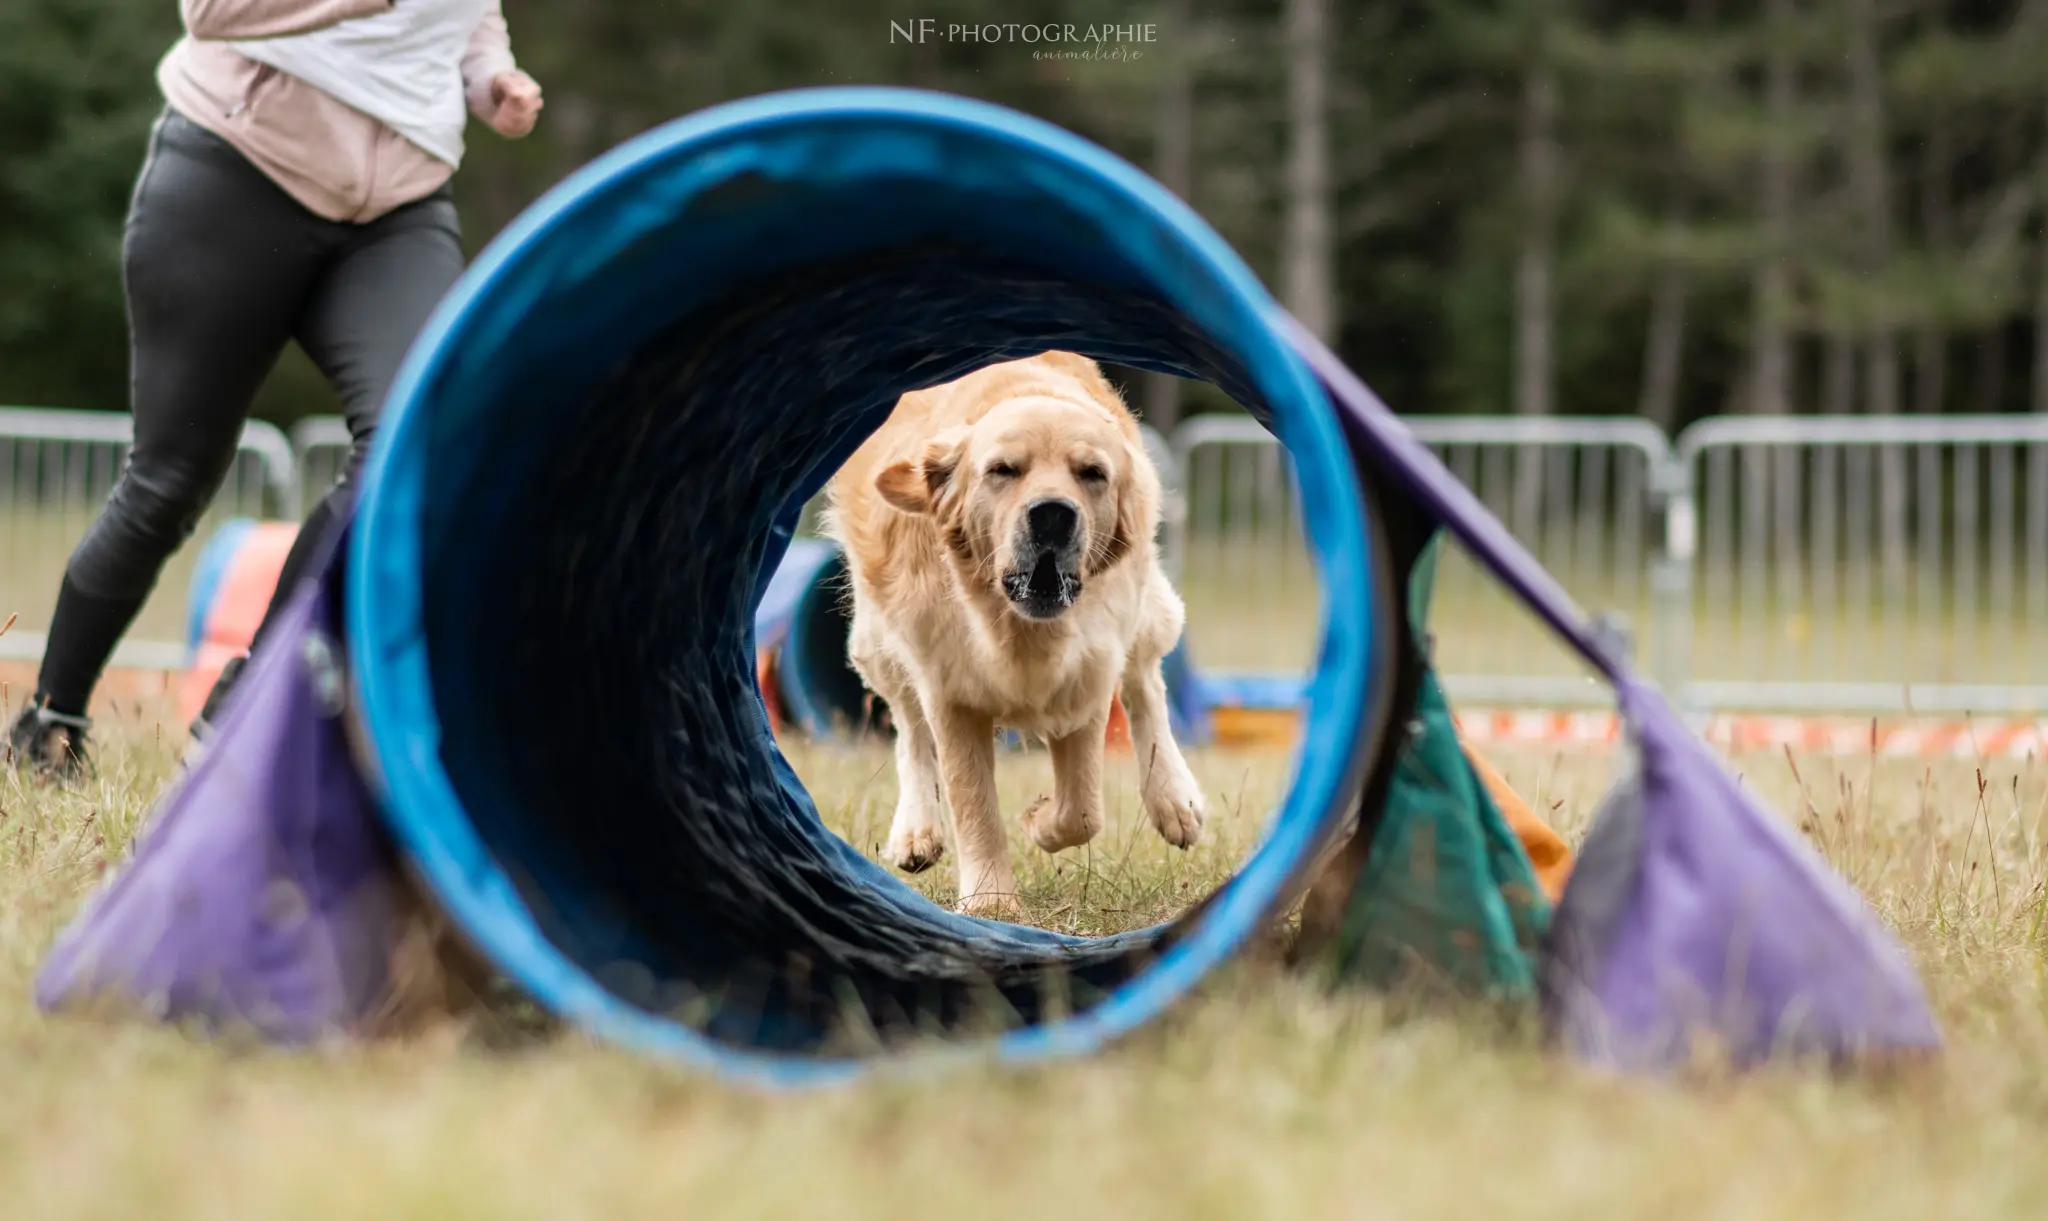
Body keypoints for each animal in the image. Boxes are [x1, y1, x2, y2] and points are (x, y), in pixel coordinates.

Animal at [823, 350, 1204, 917]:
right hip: (877, 637)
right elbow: (972, 797)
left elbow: (1082, 809)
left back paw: (1174, 799)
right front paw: (991, 902)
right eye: (1003, 470)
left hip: (1144, 610)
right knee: (909, 726)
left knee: (1146, 685)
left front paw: (1037, 823)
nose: (1052, 515)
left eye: (1092, 473)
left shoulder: (1087, 677)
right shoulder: (950, 688)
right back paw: (916, 830)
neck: (1019, 627)